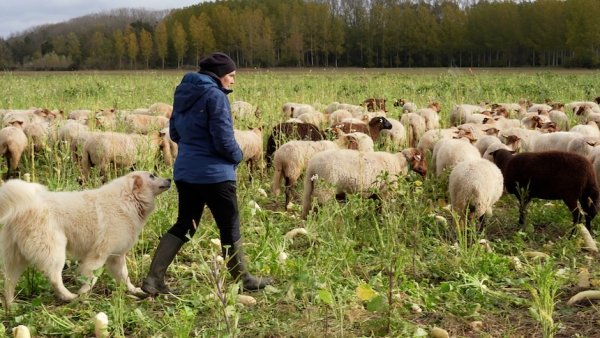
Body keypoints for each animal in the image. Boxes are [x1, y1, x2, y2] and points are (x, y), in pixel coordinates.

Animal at [0, 172, 171, 304]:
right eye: (152, 176)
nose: (170, 179)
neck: (127, 199)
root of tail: (22, 208)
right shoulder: (99, 254)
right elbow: (91, 277)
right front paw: (84, 294)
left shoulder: (116, 257)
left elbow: (124, 277)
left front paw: (134, 290)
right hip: (55, 251)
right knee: (54, 278)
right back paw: (69, 297)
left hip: (17, 259)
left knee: (9, 283)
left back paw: (11, 306)